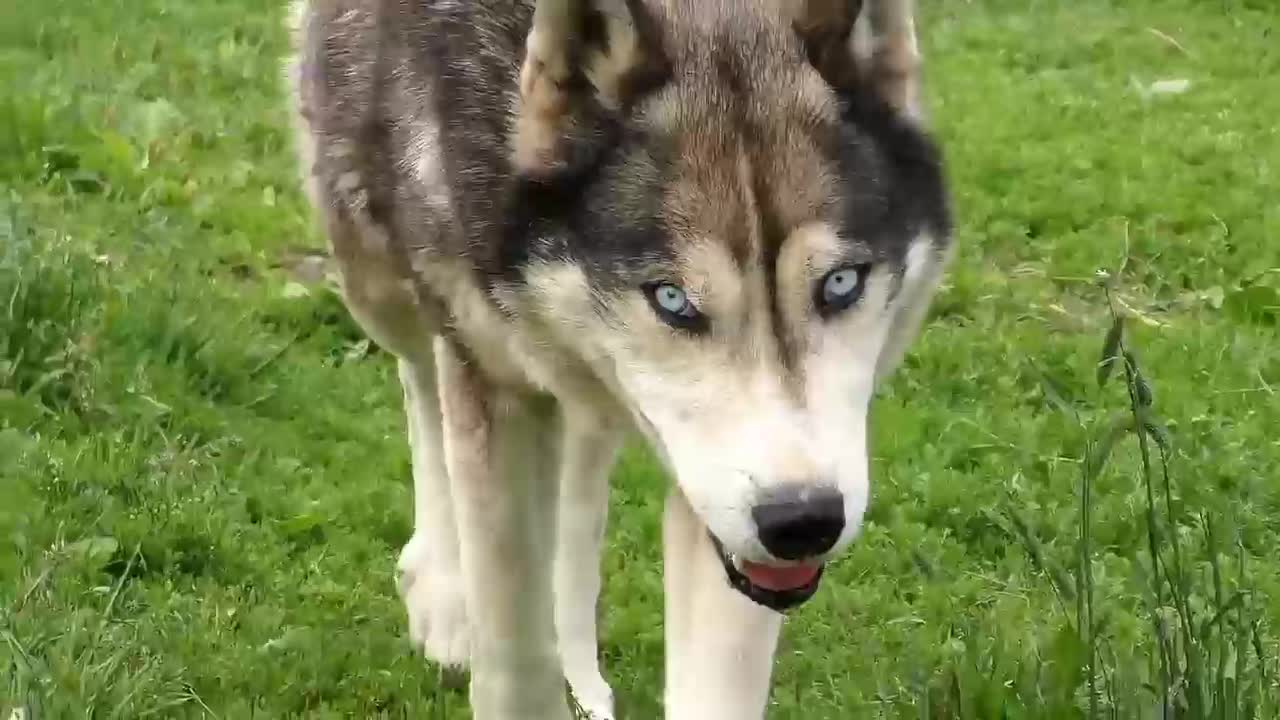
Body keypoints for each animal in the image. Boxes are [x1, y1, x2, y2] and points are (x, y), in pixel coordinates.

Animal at [290, 0, 952, 712]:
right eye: (673, 299)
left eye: (841, 283)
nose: (802, 521)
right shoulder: (495, 383)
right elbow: (514, 648)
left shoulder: (720, 507)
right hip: (377, 276)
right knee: (421, 377)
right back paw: (443, 592)